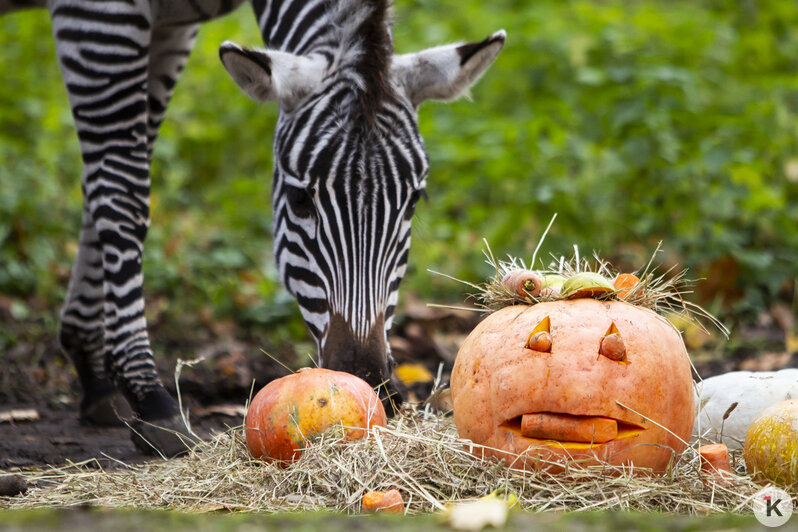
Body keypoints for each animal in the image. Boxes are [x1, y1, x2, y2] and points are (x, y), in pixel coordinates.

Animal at [3, 0, 506, 458]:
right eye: (300, 200)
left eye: (413, 201)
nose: (368, 381)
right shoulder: (99, 16)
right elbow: (121, 188)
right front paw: (148, 395)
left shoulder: (171, 25)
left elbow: (107, 177)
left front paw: (92, 365)